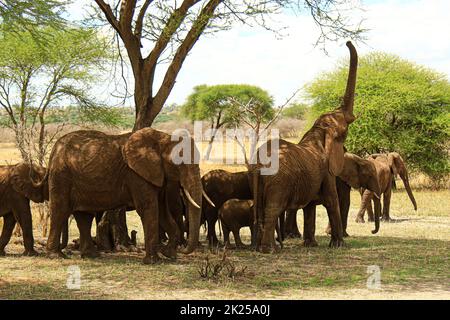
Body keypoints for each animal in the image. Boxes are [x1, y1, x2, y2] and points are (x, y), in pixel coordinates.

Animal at [34, 127, 203, 264]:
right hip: (61, 175)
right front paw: (153, 261)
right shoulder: (136, 174)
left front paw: (169, 255)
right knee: (60, 210)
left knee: (84, 216)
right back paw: (56, 256)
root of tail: (54, 150)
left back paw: (91, 256)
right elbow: (149, 209)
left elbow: (161, 211)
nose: (183, 250)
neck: (163, 138)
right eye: (180, 162)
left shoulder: (156, 174)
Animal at [253, 40, 358, 252]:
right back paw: (270, 250)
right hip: (278, 181)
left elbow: (310, 208)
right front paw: (339, 245)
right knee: (273, 208)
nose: (347, 42)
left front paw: (311, 244)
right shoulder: (327, 172)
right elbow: (331, 201)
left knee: (260, 210)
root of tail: (260, 164)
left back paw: (262, 248)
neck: (318, 131)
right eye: (344, 131)